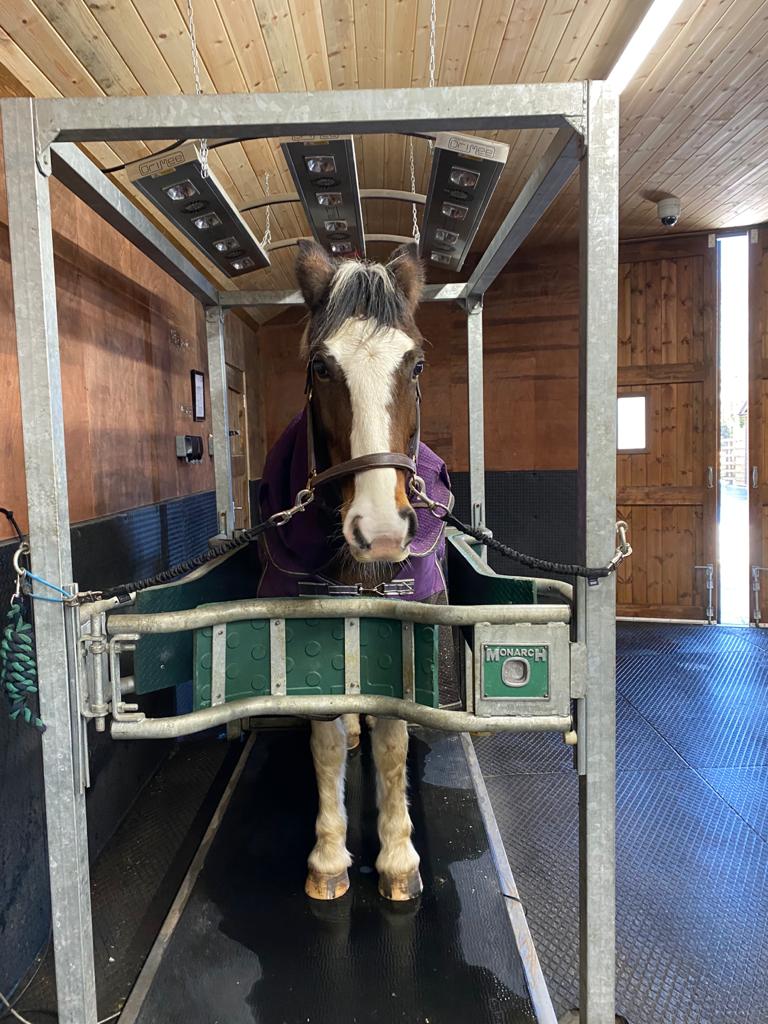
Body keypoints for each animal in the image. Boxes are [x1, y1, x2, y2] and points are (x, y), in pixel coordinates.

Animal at [259, 241, 450, 905]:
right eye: (321, 366)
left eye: (416, 366)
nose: (381, 530)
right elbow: (323, 742)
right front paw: (328, 857)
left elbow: (393, 743)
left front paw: (398, 859)